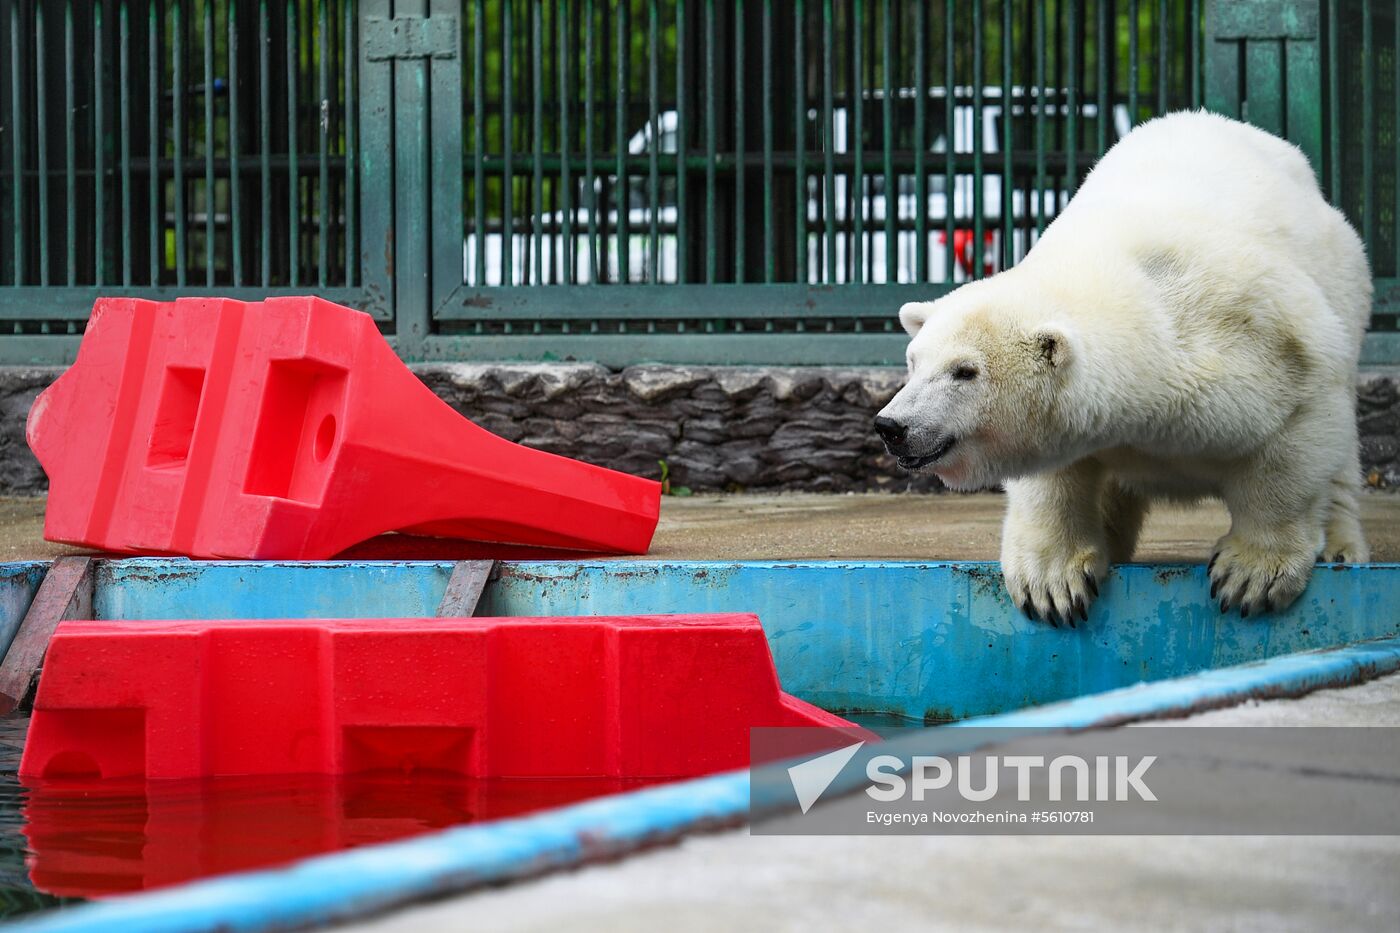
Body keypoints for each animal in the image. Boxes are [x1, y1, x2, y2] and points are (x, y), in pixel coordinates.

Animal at [873, 110, 1366, 624]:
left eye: (964, 372)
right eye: (913, 362)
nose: (892, 426)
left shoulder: (1263, 342)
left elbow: (1292, 446)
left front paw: (1252, 575)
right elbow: (1055, 479)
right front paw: (1053, 582)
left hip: (1346, 283)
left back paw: (1341, 546)